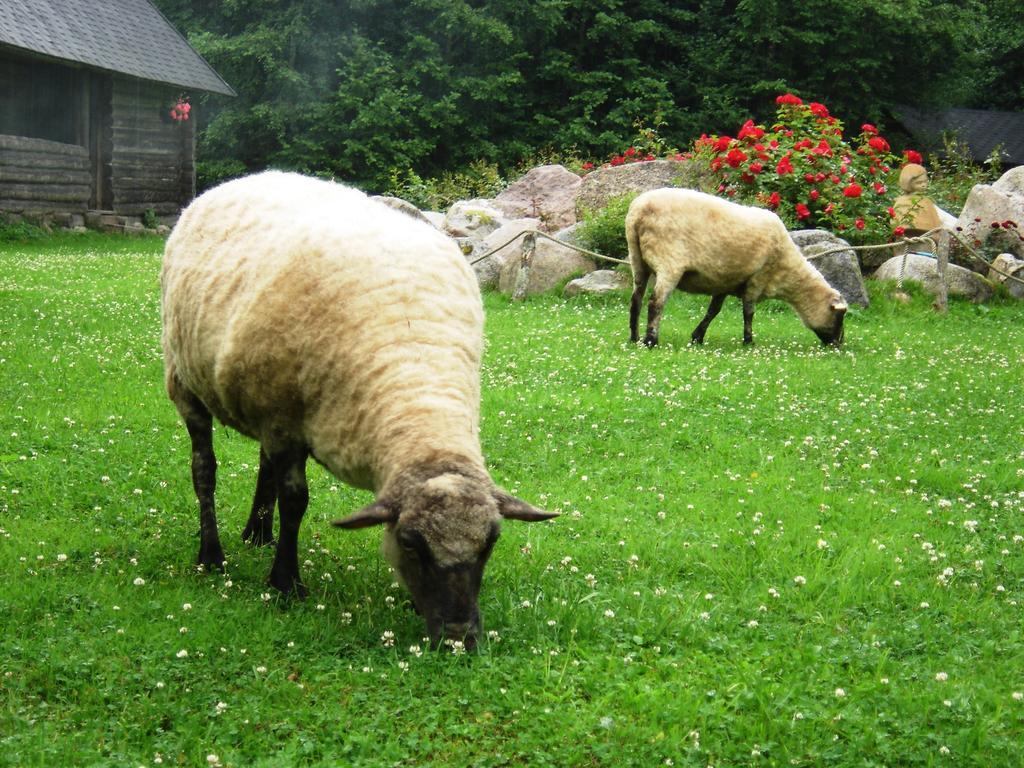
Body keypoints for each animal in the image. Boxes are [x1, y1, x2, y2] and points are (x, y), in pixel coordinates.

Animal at [160, 169, 557, 651]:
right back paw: (212, 555)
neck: (415, 375)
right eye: (410, 543)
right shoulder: (286, 423)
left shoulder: (282, 421)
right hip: (187, 379)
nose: (457, 638)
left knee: (263, 464)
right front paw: (285, 583)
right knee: (204, 469)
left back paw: (258, 533)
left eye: (490, 543)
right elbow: (296, 501)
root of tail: (248, 178)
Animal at [622, 189, 847, 348]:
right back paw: (651, 341)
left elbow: (713, 311)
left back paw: (634, 338)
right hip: (669, 262)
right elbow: (749, 312)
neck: (787, 271)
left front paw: (697, 337)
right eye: (839, 316)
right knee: (655, 302)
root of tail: (638, 212)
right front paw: (748, 341)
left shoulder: (724, 280)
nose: (838, 345)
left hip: (637, 259)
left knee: (636, 300)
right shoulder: (758, 278)